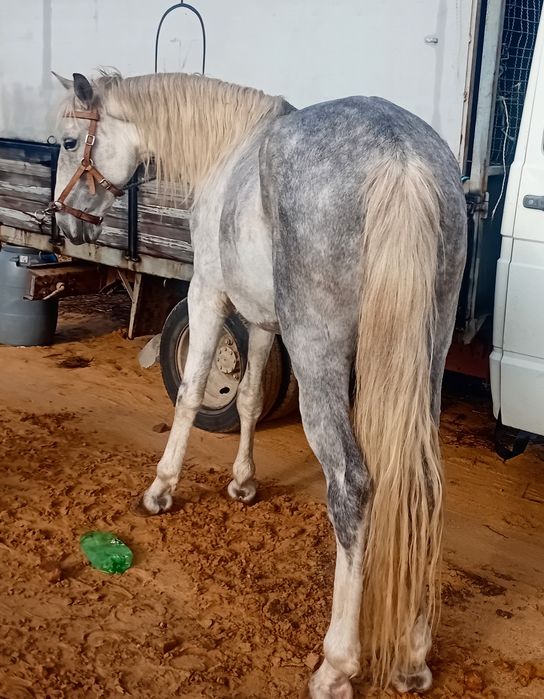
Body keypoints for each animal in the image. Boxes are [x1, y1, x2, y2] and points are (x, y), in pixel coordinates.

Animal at [51, 70, 467, 698]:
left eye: (71, 142)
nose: (66, 223)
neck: (228, 150)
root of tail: (402, 159)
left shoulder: (208, 292)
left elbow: (193, 391)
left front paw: (161, 490)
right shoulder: (265, 321)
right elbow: (248, 397)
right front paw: (243, 483)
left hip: (321, 353)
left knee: (352, 486)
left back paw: (337, 666)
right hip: (426, 359)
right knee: (423, 485)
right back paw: (413, 656)